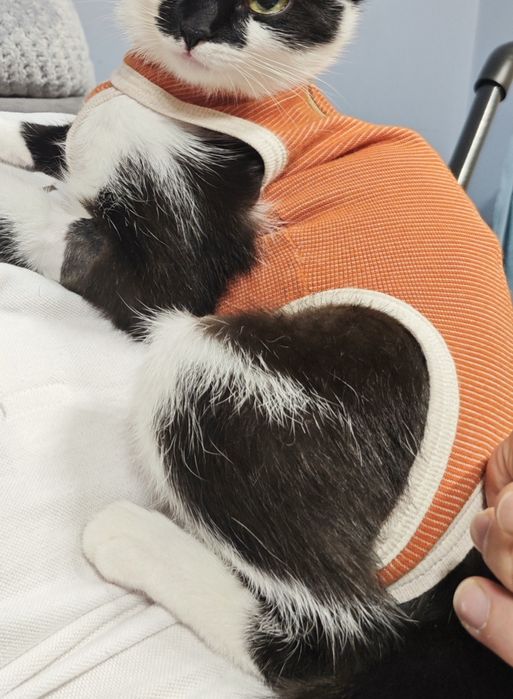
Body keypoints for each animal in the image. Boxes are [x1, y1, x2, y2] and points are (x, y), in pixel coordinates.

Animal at [1, 0, 513, 696]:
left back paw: (132, 538)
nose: (195, 29)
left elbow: (102, 255)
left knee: (336, 635)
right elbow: (60, 130)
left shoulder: (185, 253)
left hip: (248, 376)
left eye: (268, 6)